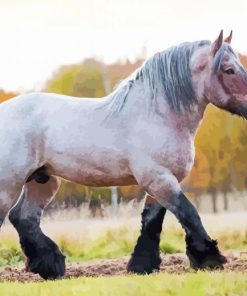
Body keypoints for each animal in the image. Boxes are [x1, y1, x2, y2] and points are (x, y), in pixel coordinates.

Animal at [1, 31, 247, 278]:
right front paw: (210, 260)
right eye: (228, 70)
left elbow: (152, 222)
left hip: (43, 181)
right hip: (9, 185)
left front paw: (142, 266)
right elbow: (189, 214)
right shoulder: (159, 179)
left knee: (24, 217)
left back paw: (51, 266)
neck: (156, 114)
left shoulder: (161, 183)